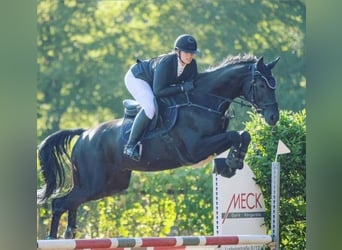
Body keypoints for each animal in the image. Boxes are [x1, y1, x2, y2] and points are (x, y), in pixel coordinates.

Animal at [37, 54, 280, 238]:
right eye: (261, 85)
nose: (273, 117)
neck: (203, 100)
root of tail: (85, 134)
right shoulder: (195, 149)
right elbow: (235, 134)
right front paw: (232, 161)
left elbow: (242, 135)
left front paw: (231, 163)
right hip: (93, 183)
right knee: (59, 204)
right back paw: (53, 238)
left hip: (109, 185)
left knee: (71, 204)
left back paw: (69, 235)